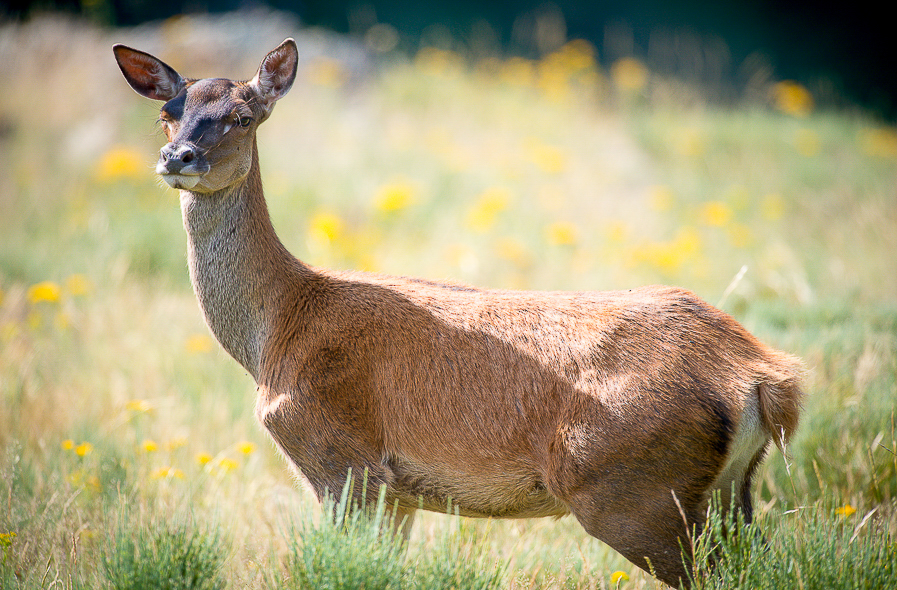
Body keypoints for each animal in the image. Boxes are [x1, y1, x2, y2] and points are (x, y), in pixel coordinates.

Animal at [114, 39, 804, 588]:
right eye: (167, 113)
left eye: (241, 116)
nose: (178, 158)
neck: (277, 333)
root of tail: (762, 375)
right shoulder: (397, 492)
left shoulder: (341, 457)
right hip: (726, 487)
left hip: (632, 488)